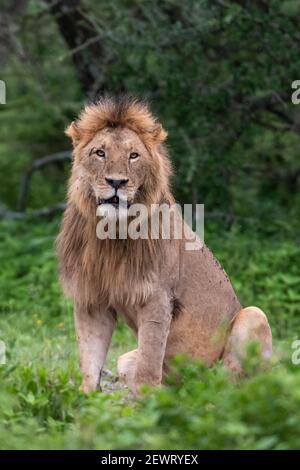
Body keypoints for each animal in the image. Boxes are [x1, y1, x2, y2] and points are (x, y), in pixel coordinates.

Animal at [57, 95, 274, 392]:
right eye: (99, 153)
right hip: (125, 359)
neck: (111, 236)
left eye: (133, 155)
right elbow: (89, 359)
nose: (116, 182)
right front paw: (85, 399)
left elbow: (149, 362)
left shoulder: (157, 297)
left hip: (254, 315)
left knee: (231, 386)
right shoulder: (92, 298)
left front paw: (147, 402)